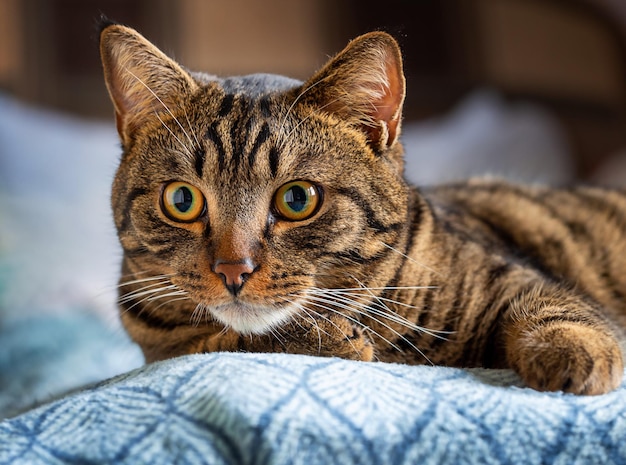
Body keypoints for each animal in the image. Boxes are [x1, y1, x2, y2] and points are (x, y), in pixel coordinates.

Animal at [97, 20, 624, 394]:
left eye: (297, 199)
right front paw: (321, 338)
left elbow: (553, 304)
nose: (233, 269)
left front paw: (572, 350)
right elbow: (213, 342)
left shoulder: (517, 276)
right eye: (182, 200)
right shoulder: (161, 343)